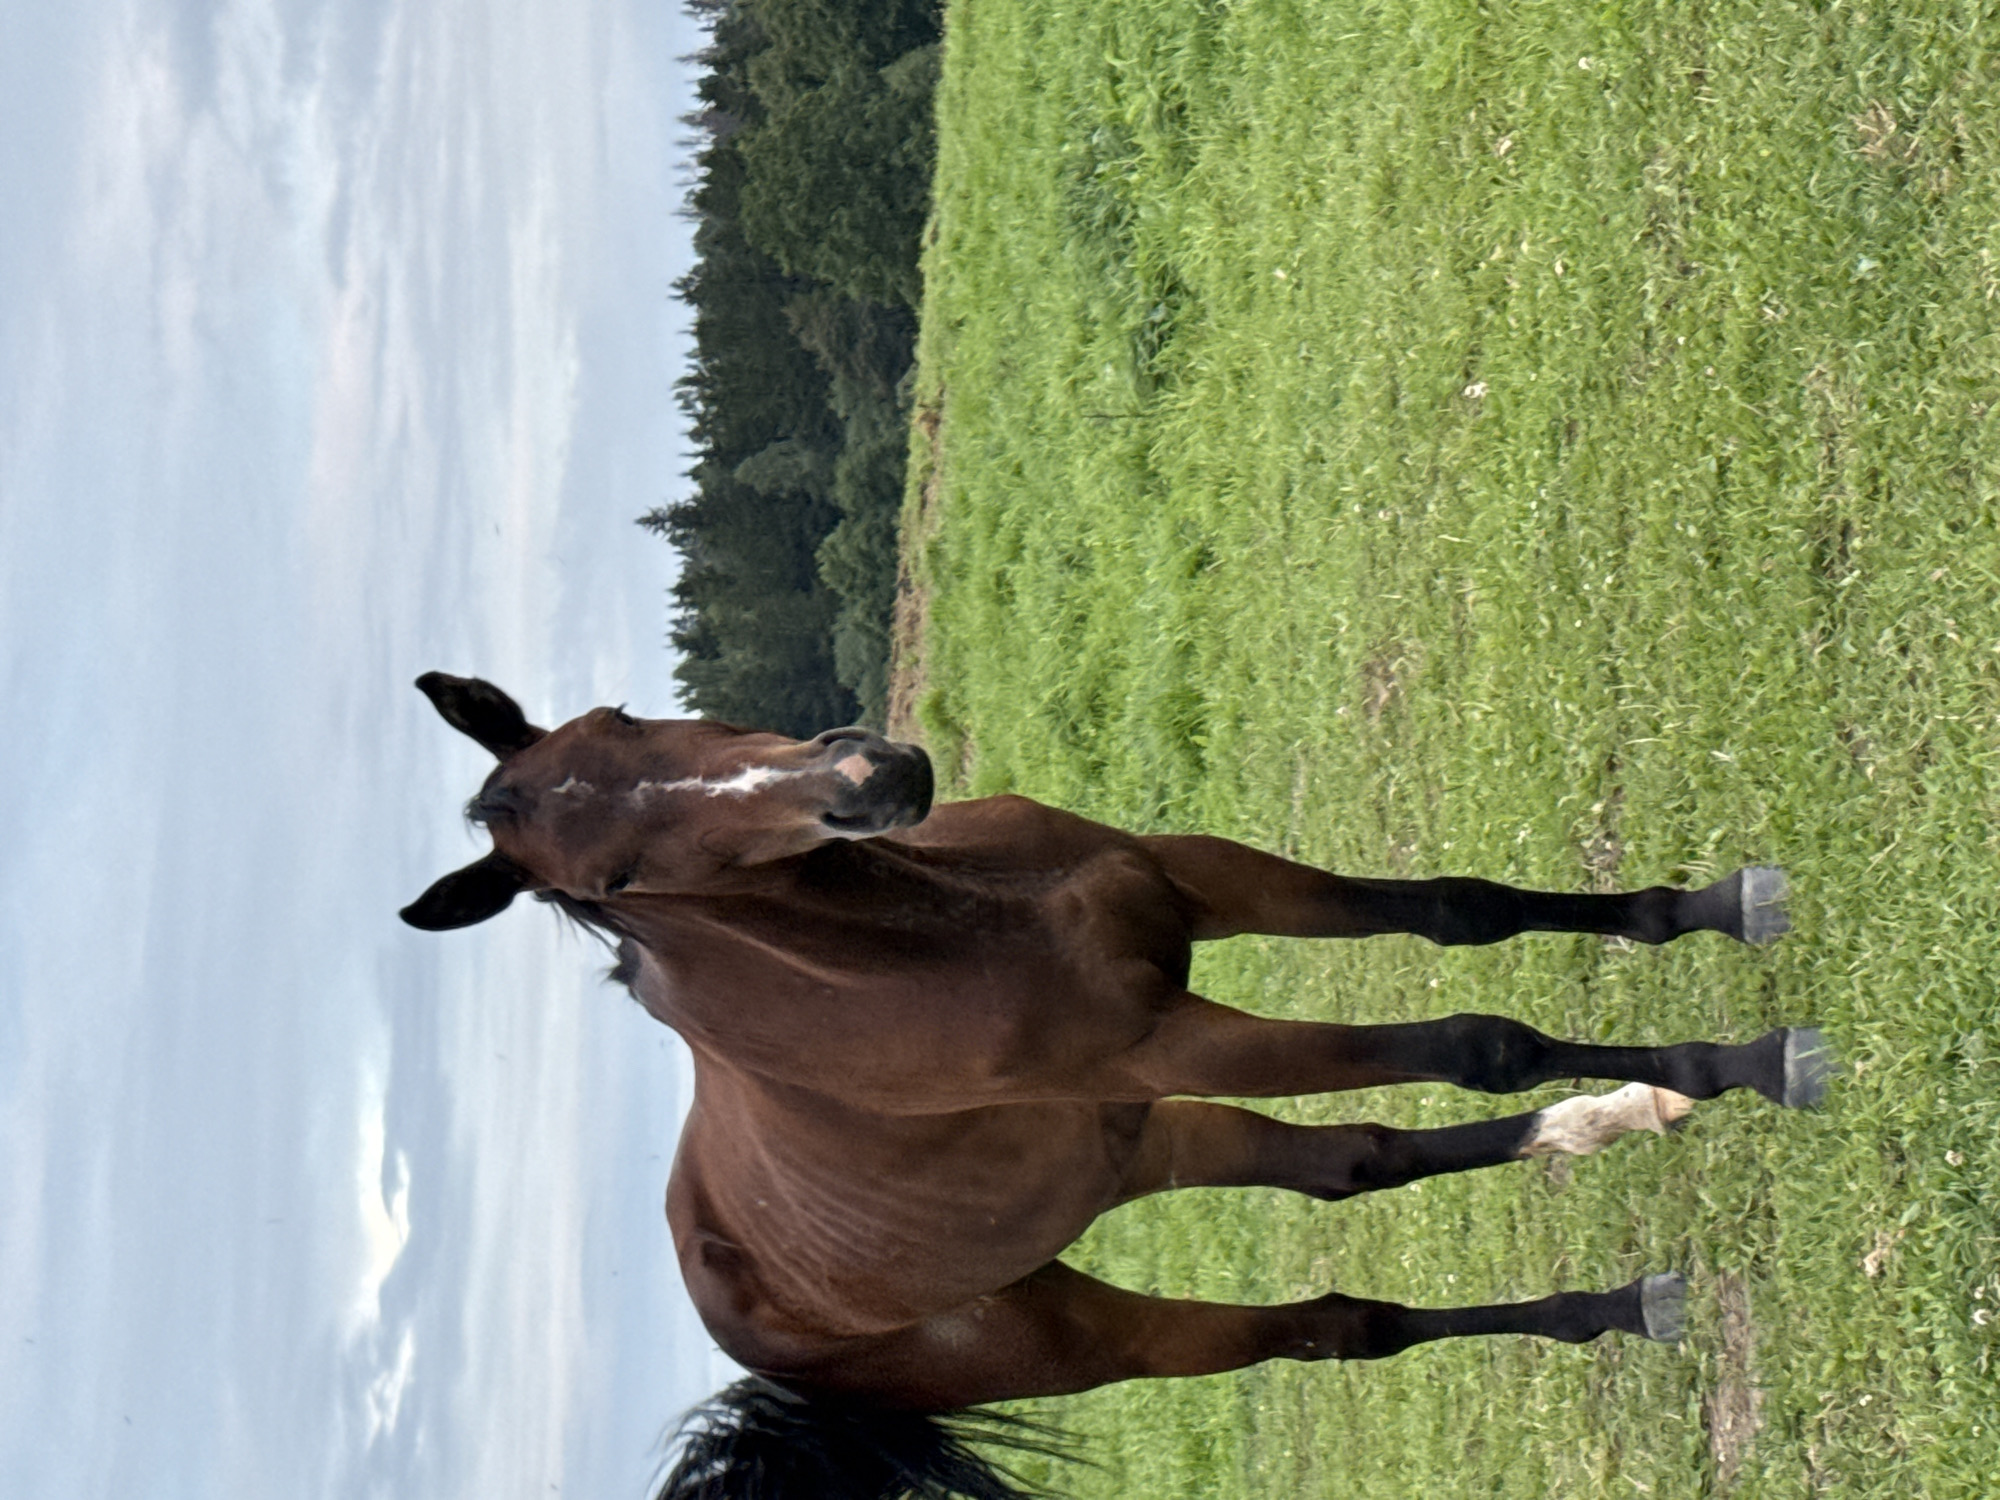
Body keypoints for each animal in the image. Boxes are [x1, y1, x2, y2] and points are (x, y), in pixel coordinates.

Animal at [400, 673, 1826, 1499]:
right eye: (616, 879)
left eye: (626, 722)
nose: (865, 778)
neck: (945, 929)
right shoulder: (1173, 1039)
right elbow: (1481, 1040)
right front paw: (1736, 1065)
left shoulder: (1190, 881)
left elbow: (1456, 912)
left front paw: (1707, 916)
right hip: (1090, 1325)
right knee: (1326, 1326)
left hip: (1135, 1144)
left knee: (1349, 1168)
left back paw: (1603, 1207)